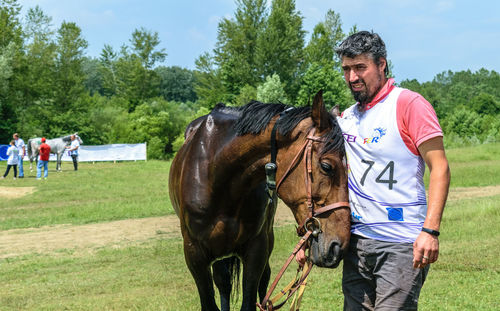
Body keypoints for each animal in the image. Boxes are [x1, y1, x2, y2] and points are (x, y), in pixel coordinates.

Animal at [170, 91, 350, 310]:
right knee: (223, 282)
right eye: (326, 166)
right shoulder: (194, 254)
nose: (339, 246)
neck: (216, 171)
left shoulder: (257, 249)